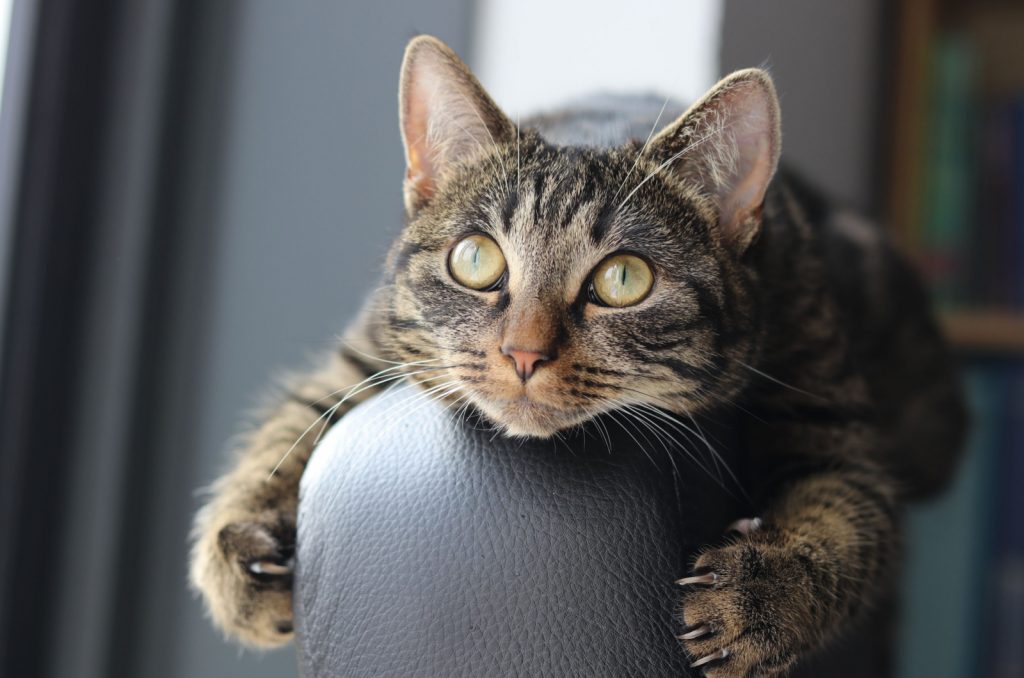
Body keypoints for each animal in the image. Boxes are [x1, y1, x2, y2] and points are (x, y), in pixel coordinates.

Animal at [190, 37, 966, 678]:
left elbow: (839, 523)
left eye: (624, 279)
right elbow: (284, 431)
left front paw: (760, 594)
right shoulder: (364, 353)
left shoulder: (834, 425)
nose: (523, 352)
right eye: (476, 259)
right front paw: (237, 555)